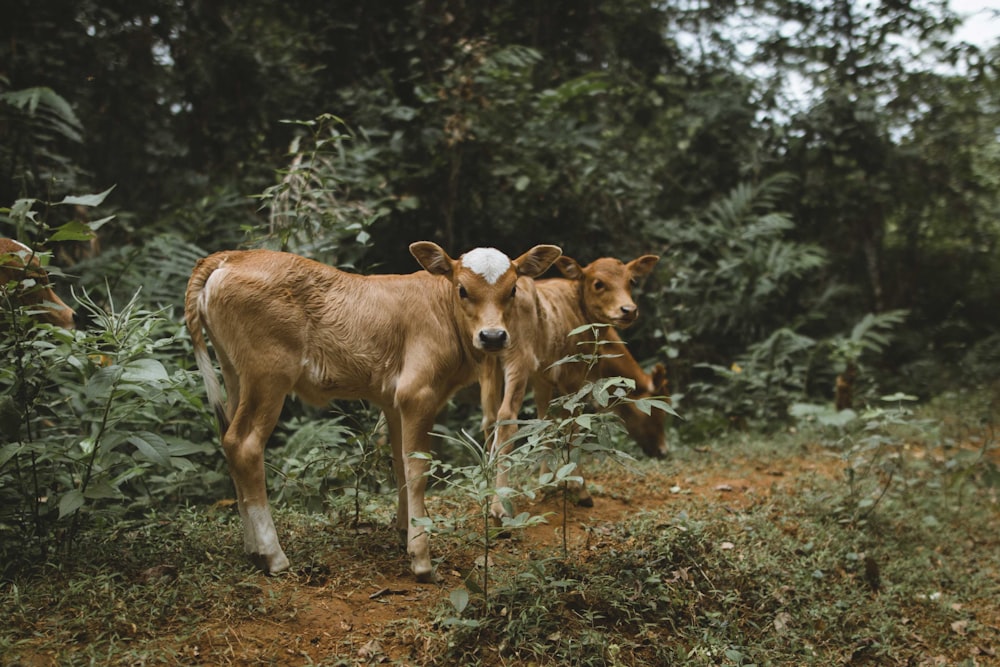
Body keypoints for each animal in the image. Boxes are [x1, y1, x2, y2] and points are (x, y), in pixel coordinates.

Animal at [186, 243, 564, 580]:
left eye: (512, 289)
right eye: (462, 289)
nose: (493, 336)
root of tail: (231, 256)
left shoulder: (393, 402)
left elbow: (400, 464)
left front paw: (404, 531)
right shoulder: (417, 394)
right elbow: (418, 470)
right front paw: (421, 557)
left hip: (236, 375)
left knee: (229, 441)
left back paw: (252, 550)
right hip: (269, 376)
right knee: (246, 445)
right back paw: (273, 555)